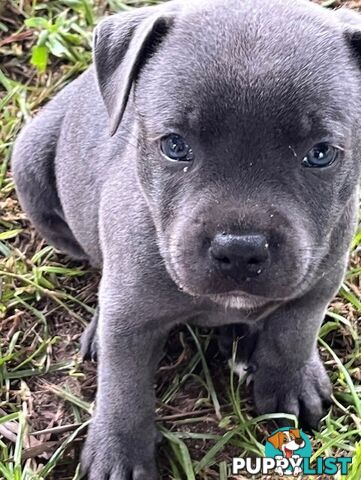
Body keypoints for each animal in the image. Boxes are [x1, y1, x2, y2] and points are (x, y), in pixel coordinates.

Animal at [11, 0, 360, 478]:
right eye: (175, 146)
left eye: (321, 154)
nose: (240, 249)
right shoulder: (131, 317)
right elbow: (124, 387)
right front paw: (119, 452)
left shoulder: (321, 278)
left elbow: (294, 333)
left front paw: (292, 382)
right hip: (29, 168)